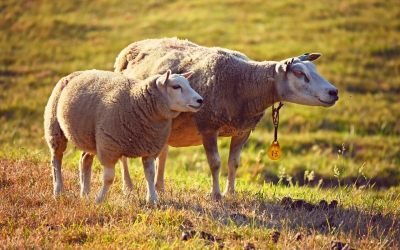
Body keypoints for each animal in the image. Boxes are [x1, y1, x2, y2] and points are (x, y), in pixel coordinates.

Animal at [43, 69, 203, 203]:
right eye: (176, 86)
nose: (200, 100)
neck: (137, 101)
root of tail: (76, 73)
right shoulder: (109, 146)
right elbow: (109, 178)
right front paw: (100, 200)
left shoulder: (150, 148)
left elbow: (150, 175)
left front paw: (152, 200)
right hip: (54, 127)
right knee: (56, 160)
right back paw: (58, 191)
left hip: (90, 137)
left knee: (84, 160)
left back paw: (85, 193)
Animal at [114, 37, 340, 201]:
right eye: (299, 73)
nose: (334, 92)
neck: (243, 82)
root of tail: (135, 44)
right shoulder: (208, 125)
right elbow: (215, 163)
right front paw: (216, 195)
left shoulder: (243, 130)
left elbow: (234, 163)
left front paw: (230, 192)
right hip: (125, 116)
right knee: (124, 155)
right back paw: (128, 187)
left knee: (163, 152)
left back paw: (159, 187)